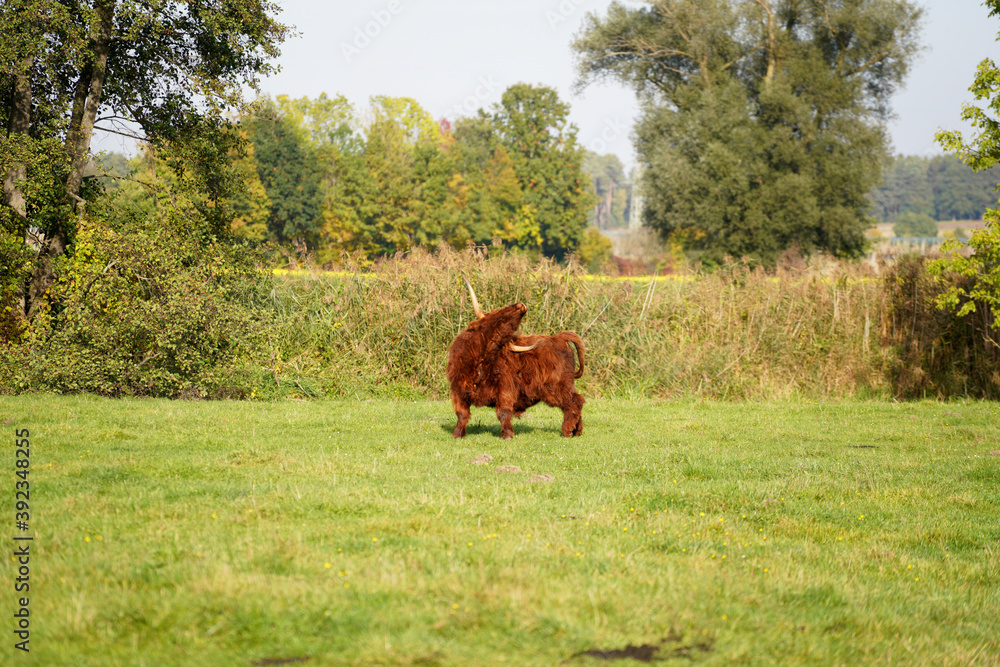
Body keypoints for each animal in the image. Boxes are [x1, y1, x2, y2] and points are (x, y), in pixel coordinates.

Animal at [447, 278, 585, 440]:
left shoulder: (505, 389)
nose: (521, 306)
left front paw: (506, 435)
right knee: (575, 401)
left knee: (574, 402)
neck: (482, 362)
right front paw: (457, 434)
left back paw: (568, 431)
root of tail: (560, 337)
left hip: (558, 386)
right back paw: (577, 431)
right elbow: (461, 413)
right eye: (497, 315)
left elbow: (504, 412)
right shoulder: (458, 389)